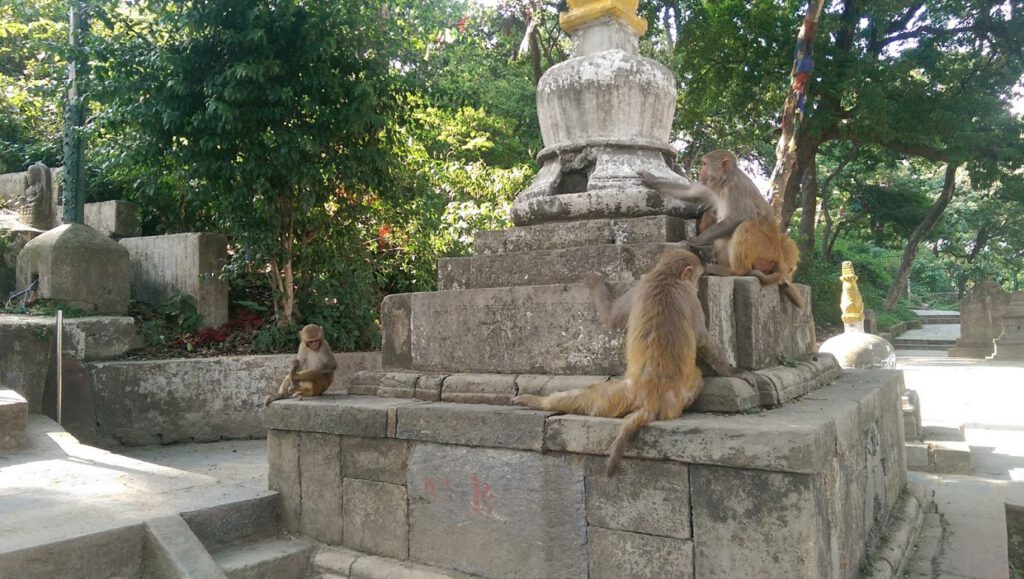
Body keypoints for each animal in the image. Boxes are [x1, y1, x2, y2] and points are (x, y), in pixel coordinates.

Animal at [514, 249, 705, 477]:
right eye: (696, 278)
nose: (698, 285)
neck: (666, 278)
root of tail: (652, 399)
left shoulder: (648, 288)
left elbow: (611, 316)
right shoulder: (670, 292)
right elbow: (702, 338)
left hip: (620, 394)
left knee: (586, 397)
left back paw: (540, 402)